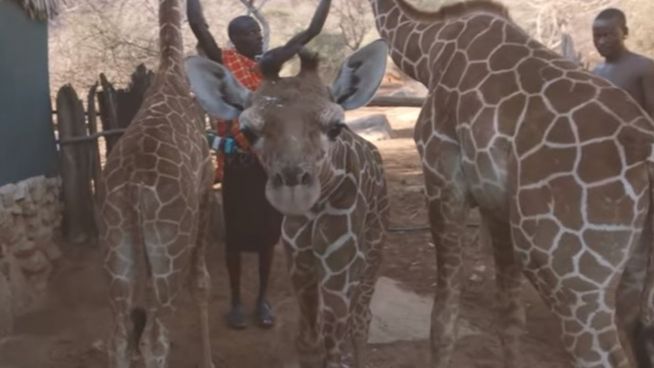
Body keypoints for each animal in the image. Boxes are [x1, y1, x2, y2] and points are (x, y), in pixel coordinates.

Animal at [97, 0, 215, 368]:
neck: (171, 69)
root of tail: (133, 189)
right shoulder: (206, 186)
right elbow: (201, 282)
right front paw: (209, 361)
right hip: (170, 247)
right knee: (156, 339)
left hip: (116, 244)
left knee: (119, 337)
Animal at [184, 2, 390, 366]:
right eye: (249, 130)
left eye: (335, 126)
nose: (294, 189)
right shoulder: (301, 262)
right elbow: (308, 341)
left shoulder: (340, 262)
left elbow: (333, 345)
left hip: (373, 245)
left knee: (361, 319)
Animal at [372, 0, 654, 368]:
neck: (427, 50)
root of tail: (646, 155)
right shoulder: (497, 206)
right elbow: (510, 317)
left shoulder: (441, 177)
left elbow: (443, 318)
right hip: (631, 265)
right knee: (638, 327)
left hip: (570, 276)